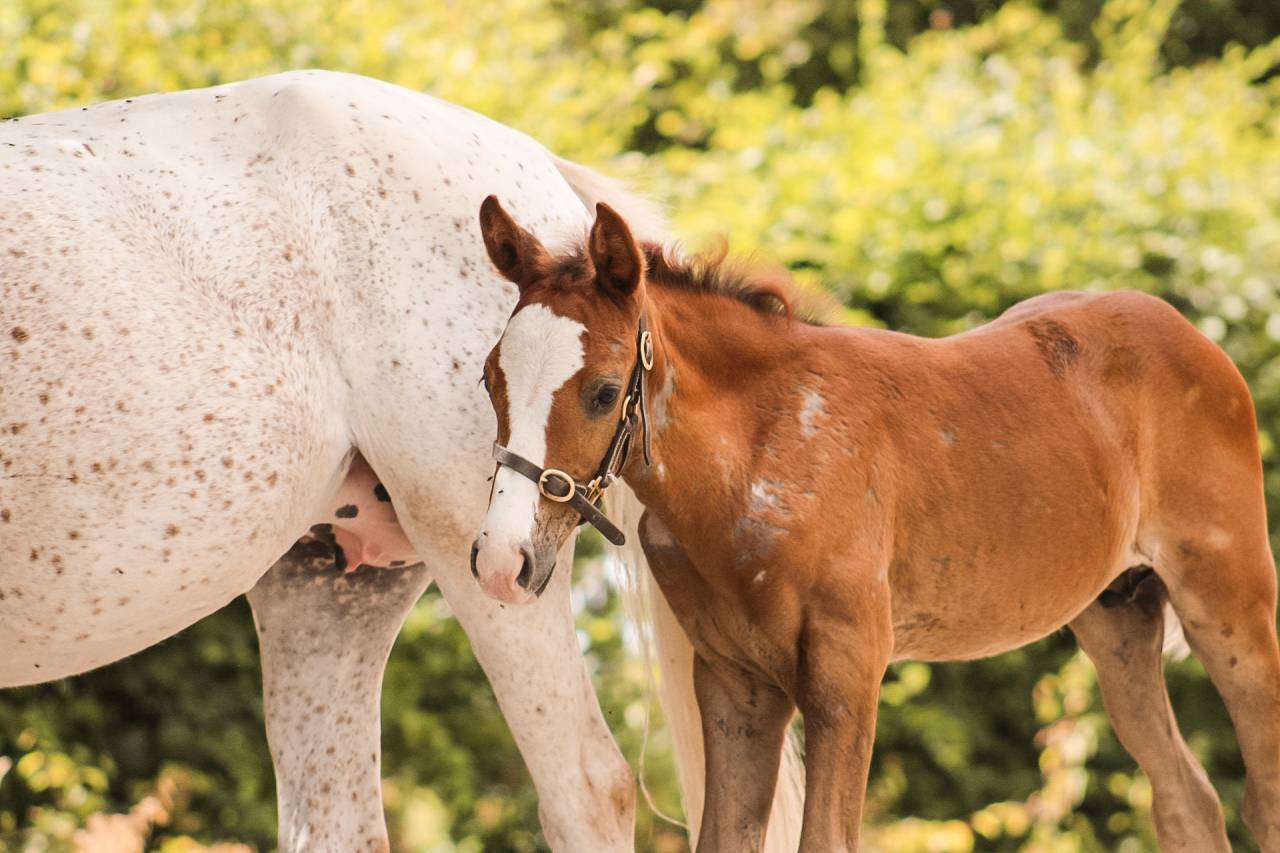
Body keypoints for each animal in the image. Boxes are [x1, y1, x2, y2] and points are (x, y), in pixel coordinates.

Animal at [0, 69, 804, 852]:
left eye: (604, 392)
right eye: (488, 377)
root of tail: (540, 165)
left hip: (474, 555)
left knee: (587, 786)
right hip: (334, 580)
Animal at [471, 197, 1280, 852]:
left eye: (606, 391)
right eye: (488, 377)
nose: (501, 562)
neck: (762, 451)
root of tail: (1195, 337)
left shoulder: (848, 665)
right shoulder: (734, 681)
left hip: (1228, 601)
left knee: (1261, 791)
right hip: (1118, 615)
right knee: (1186, 800)